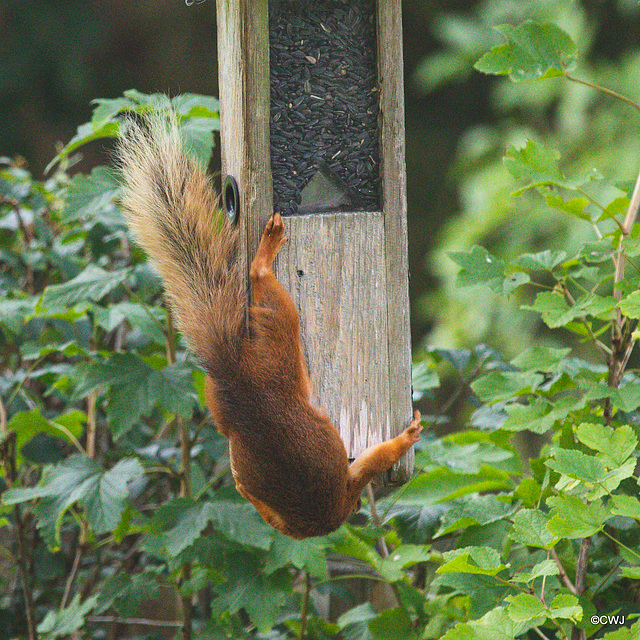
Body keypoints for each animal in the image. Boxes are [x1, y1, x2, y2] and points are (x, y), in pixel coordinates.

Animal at [117, 116, 422, 540]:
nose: (359, 505)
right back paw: (266, 252)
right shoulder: (347, 482)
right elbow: (375, 459)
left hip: (219, 405)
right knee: (267, 288)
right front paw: (408, 435)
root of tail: (233, 368)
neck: (317, 516)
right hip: (280, 343)